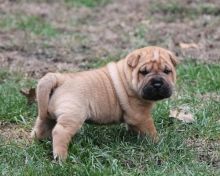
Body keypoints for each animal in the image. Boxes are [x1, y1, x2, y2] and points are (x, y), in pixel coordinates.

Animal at [31, 46, 178, 161]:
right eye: (144, 72)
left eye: (167, 71)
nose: (157, 83)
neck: (127, 77)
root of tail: (60, 79)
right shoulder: (141, 116)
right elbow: (150, 130)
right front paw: (157, 142)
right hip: (72, 116)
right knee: (60, 132)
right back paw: (61, 157)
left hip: (46, 115)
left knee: (41, 127)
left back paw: (34, 142)